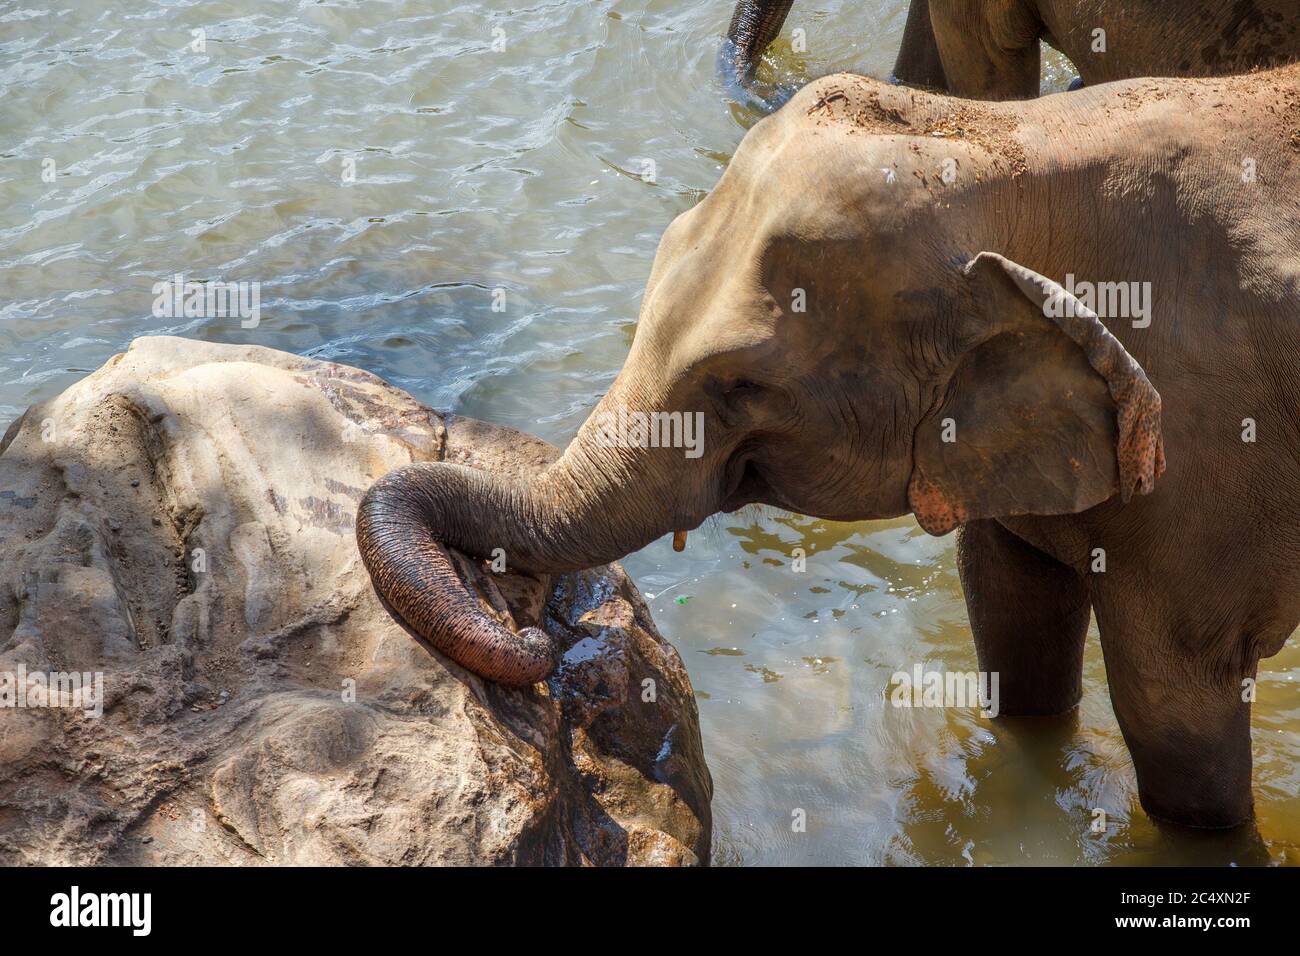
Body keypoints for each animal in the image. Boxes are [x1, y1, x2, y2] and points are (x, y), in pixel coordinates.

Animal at [361, 63, 1300, 832]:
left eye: (740, 386)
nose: (533, 632)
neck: (1014, 141)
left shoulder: (1207, 463)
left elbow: (1174, 710)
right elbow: (1010, 618)